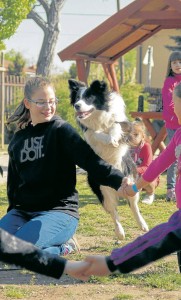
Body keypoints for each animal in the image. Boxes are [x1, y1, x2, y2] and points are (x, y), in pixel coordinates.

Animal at [68, 79, 148, 239]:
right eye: (77, 98)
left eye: (88, 98)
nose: (77, 105)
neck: (98, 117)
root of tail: (117, 189)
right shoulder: (89, 136)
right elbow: (95, 133)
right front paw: (108, 139)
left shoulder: (126, 128)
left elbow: (115, 126)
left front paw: (113, 139)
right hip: (102, 189)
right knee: (113, 211)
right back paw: (120, 232)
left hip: (131, 179)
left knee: (133, 205)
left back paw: (142, 225)